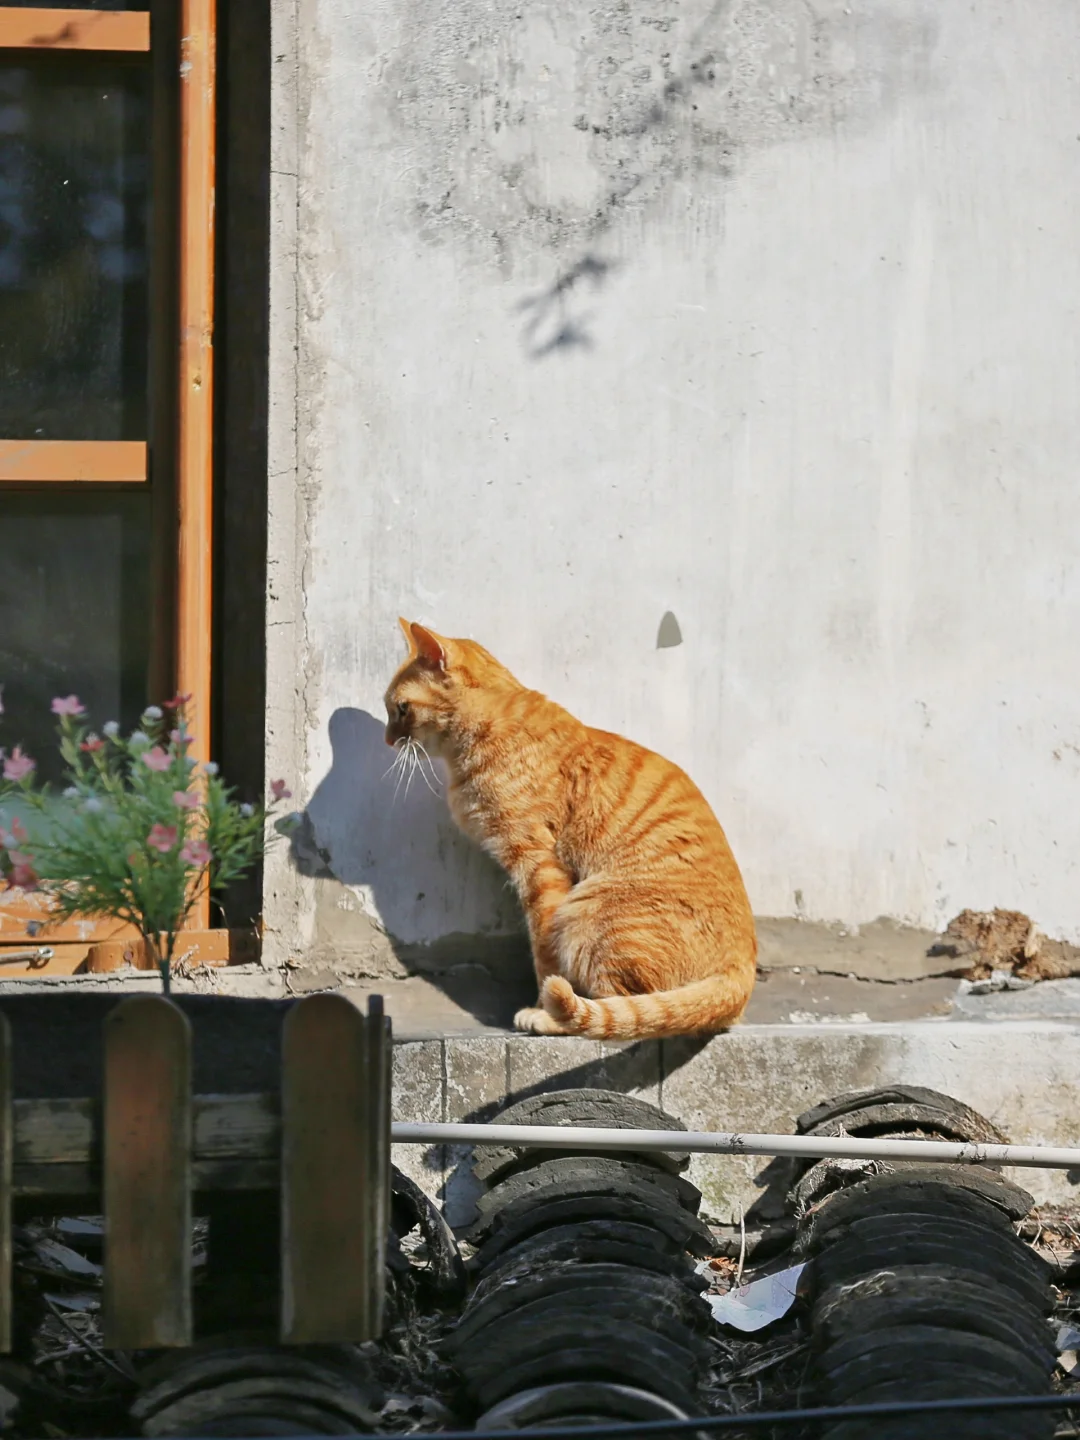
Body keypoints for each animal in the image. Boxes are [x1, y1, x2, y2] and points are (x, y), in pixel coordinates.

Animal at [385, 619, 754, 1036]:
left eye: (401, 709)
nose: (387, 740)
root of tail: (741, 972)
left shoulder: (538, 865)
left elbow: (545, 956)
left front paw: (539, 1006)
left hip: (586, 914)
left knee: (615, 1010)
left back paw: (553, 1017)